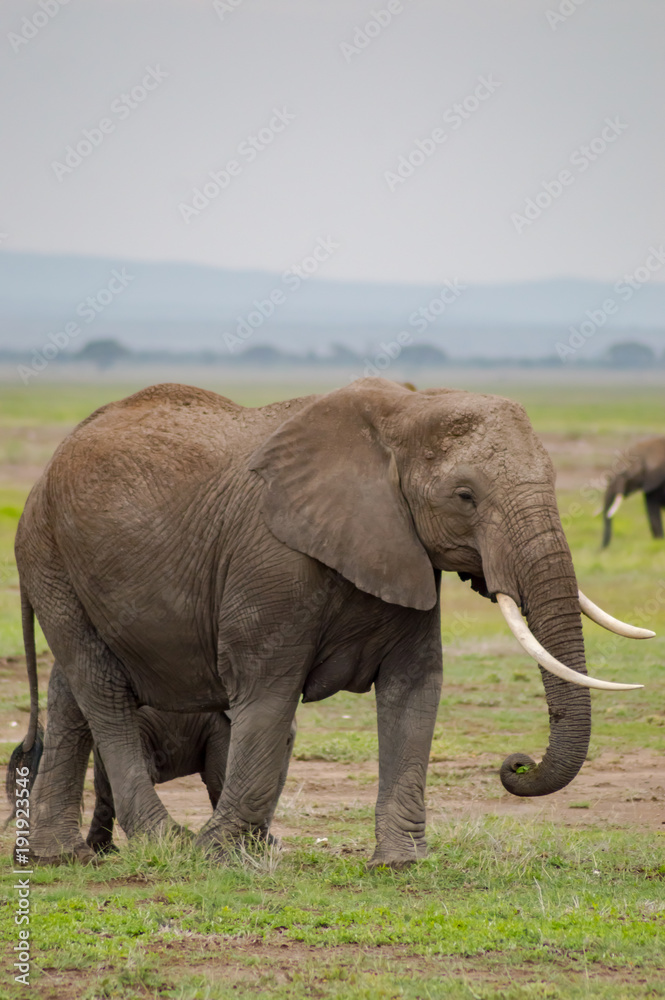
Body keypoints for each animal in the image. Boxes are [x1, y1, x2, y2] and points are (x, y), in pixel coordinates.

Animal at [11, 379, 648, 869]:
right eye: (465, 495)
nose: (515, 765)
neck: (403, 413)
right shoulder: (269, 561)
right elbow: (266, 695)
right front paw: (220, 855)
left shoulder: (406, 553)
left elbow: (414, 690)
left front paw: (398, 865)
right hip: (48, 553)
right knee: (102, 690)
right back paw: (165, 843)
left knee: (72, 689)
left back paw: (58, 856)